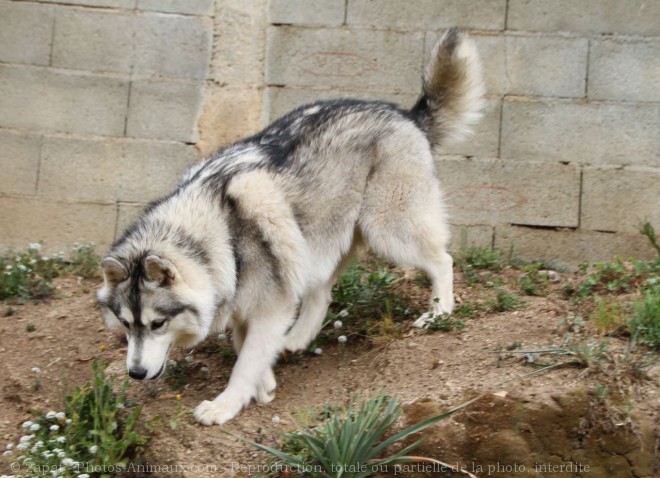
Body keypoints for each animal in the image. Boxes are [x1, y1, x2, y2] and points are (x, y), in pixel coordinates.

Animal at [99, 29, 484, 426]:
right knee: (322, 294)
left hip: (388, 232)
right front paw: (264, 383)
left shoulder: (270, 308)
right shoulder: (250, 306)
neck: (221, 237)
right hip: (314, 246)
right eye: (126, 325)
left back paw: (439, 311)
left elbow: (244, 362)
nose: (135, 374)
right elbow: (244, 347)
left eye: (157, 324)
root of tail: (406, 114)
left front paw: (225, 405)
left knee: (443, 261)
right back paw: (297, 340)